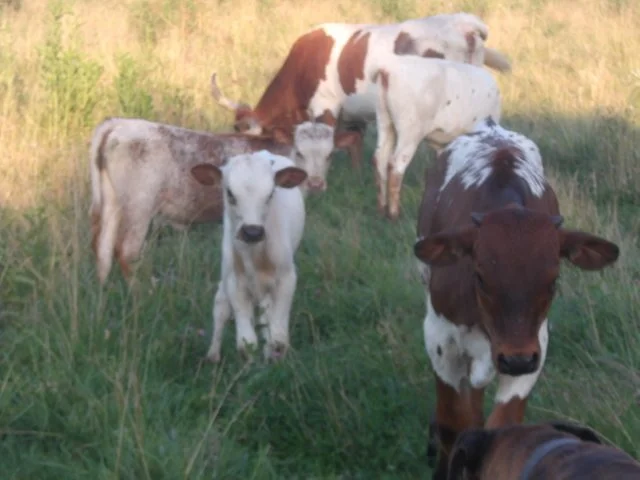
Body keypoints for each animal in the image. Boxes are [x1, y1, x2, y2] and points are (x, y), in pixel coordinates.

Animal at [89, 117, 330, 284]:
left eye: (328, 155)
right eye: (300, 153)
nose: (316, 183)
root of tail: (118, 124)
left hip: (111, 203)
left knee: (102, 250)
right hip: (139, 206)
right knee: (126, 252)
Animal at [189, 150, 307, 363]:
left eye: (271, 194)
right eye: (230, 193)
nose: (252, 232)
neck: (256, 257)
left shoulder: (287, 277)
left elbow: (278, 338)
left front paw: (273, 359)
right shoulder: (234, 281)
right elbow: (247, 343)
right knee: (221, 305)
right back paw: (212, 356)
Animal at [372, 56, 502, 221]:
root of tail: (388, 71)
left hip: (384, 120)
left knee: (380, 158)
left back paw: (381, 209)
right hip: (410, 129)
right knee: (395, 166)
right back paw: (394, 214)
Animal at [413, 117, 620, 480]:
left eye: (553, 280)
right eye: (480, 276)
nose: (516, 361)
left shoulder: (535, 344)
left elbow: (503, 424)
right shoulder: (440, 337)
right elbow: (452, 424)